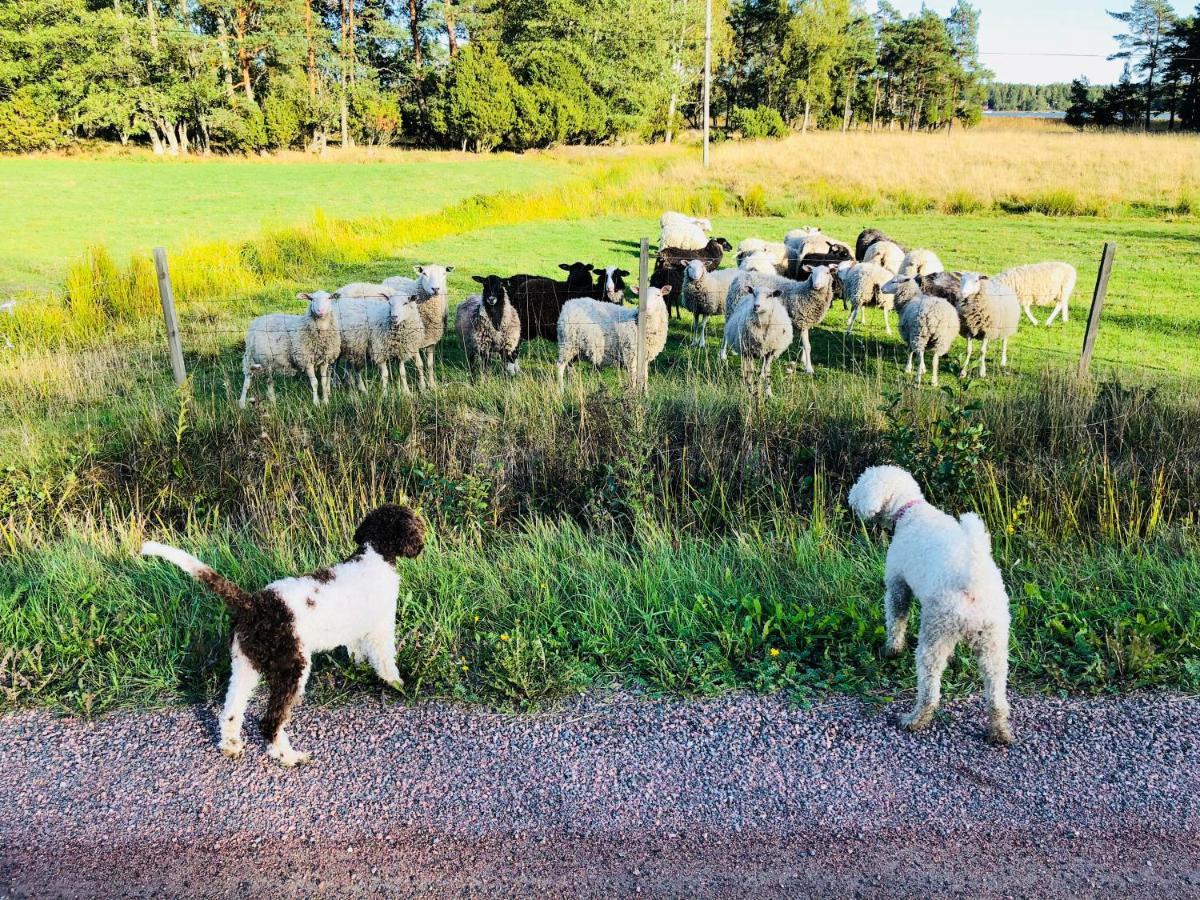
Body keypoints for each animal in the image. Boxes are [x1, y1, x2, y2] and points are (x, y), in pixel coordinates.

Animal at [142, 508, 424, 768]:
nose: (422, 544)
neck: (374, 555)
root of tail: (251, 605)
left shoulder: (357, 632)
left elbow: (358, 653)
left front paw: (361, 670)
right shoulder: (381, 627)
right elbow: (386, 662)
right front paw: (398, 685)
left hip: (245, 665)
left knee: (231, 711)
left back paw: (231, 745)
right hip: (292, 667)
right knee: (269, 722)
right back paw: (288, 756)